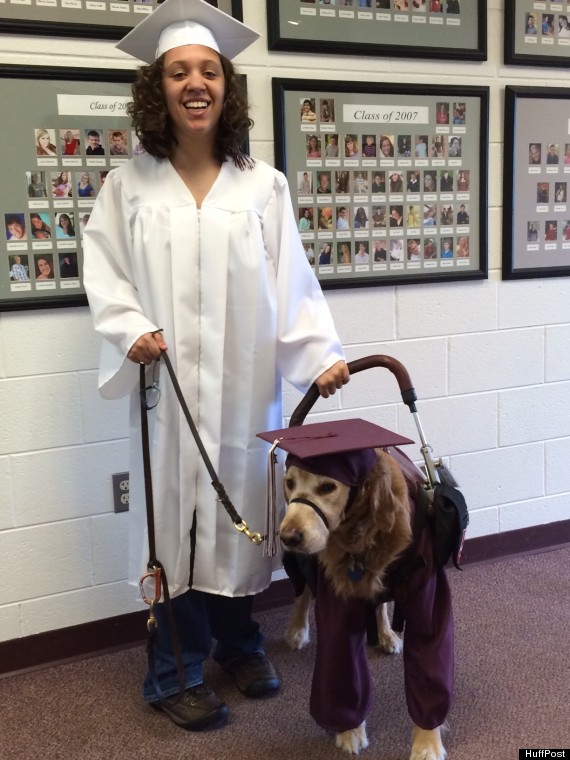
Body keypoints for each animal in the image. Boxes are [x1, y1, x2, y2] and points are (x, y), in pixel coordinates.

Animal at [278, 448, 450, 756]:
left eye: (328, 487)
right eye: (290, 483)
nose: (288, 536)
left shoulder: (428, 600)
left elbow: (430, 666)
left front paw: (427, 743)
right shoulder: (336, 602)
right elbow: (341, 664)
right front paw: (349, 730)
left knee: (378, 602)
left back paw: (385, 633)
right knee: (302, 591)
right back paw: (297, 630)